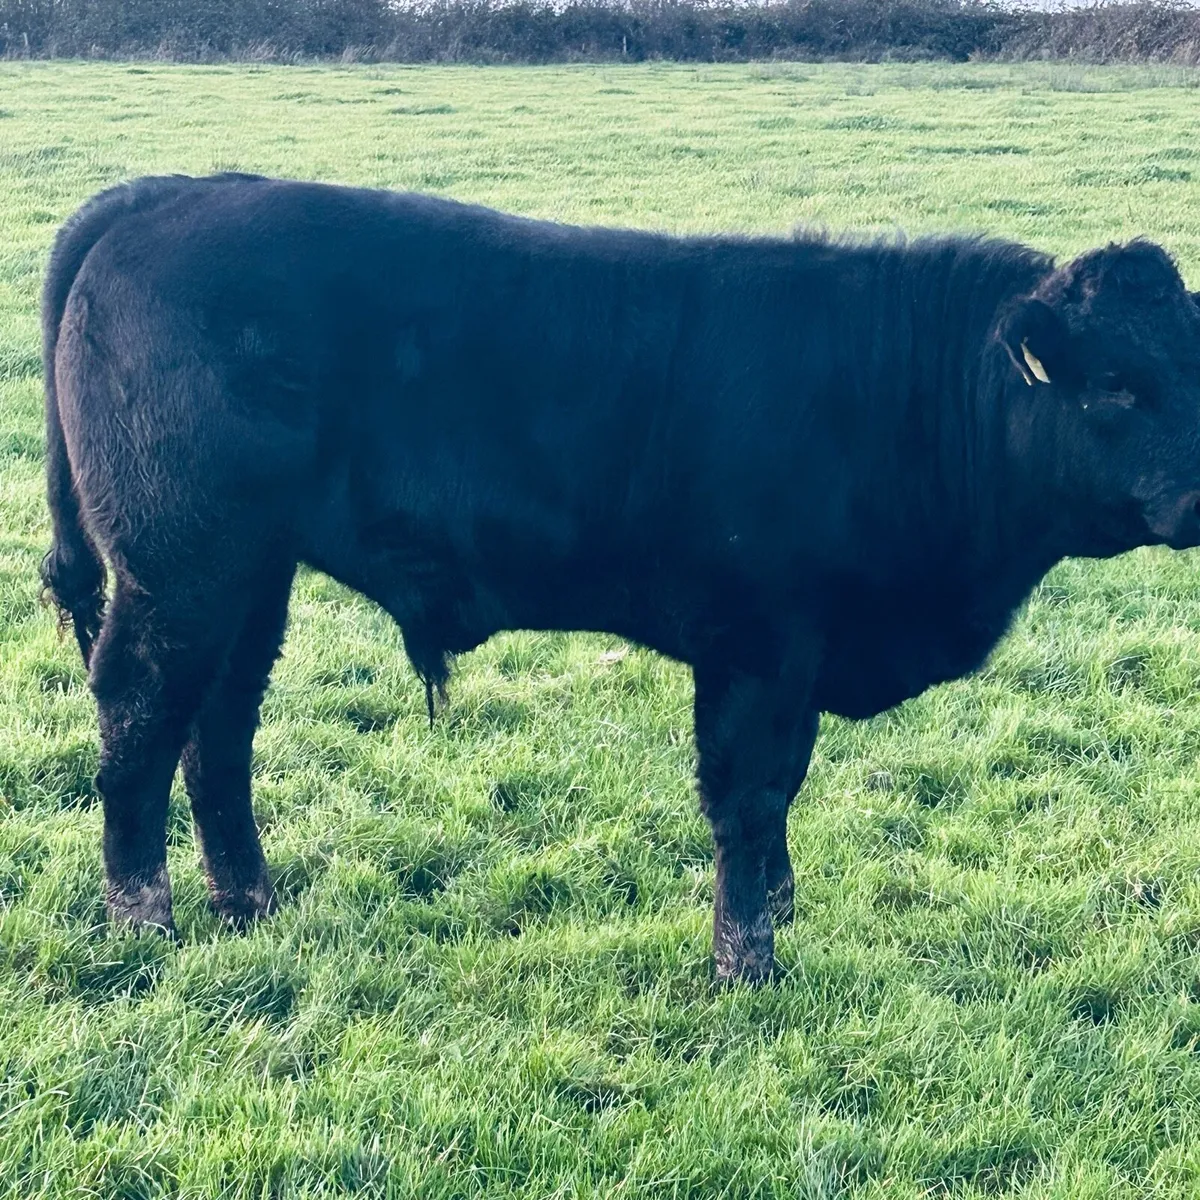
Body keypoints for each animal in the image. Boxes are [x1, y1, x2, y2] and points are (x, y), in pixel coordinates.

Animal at [40, 173, 1200, 983]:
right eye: (1113, 384)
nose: (1195, 499)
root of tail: (171, 190)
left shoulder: (802, 653)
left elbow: (783, 793)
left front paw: (777, 914)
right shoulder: (756, 646)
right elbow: (748, 798)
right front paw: (747, 962)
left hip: (248, 576)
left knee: (218, 727)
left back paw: (249, 903)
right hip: (179, 567)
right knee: (140, 717)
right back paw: (142, 918)